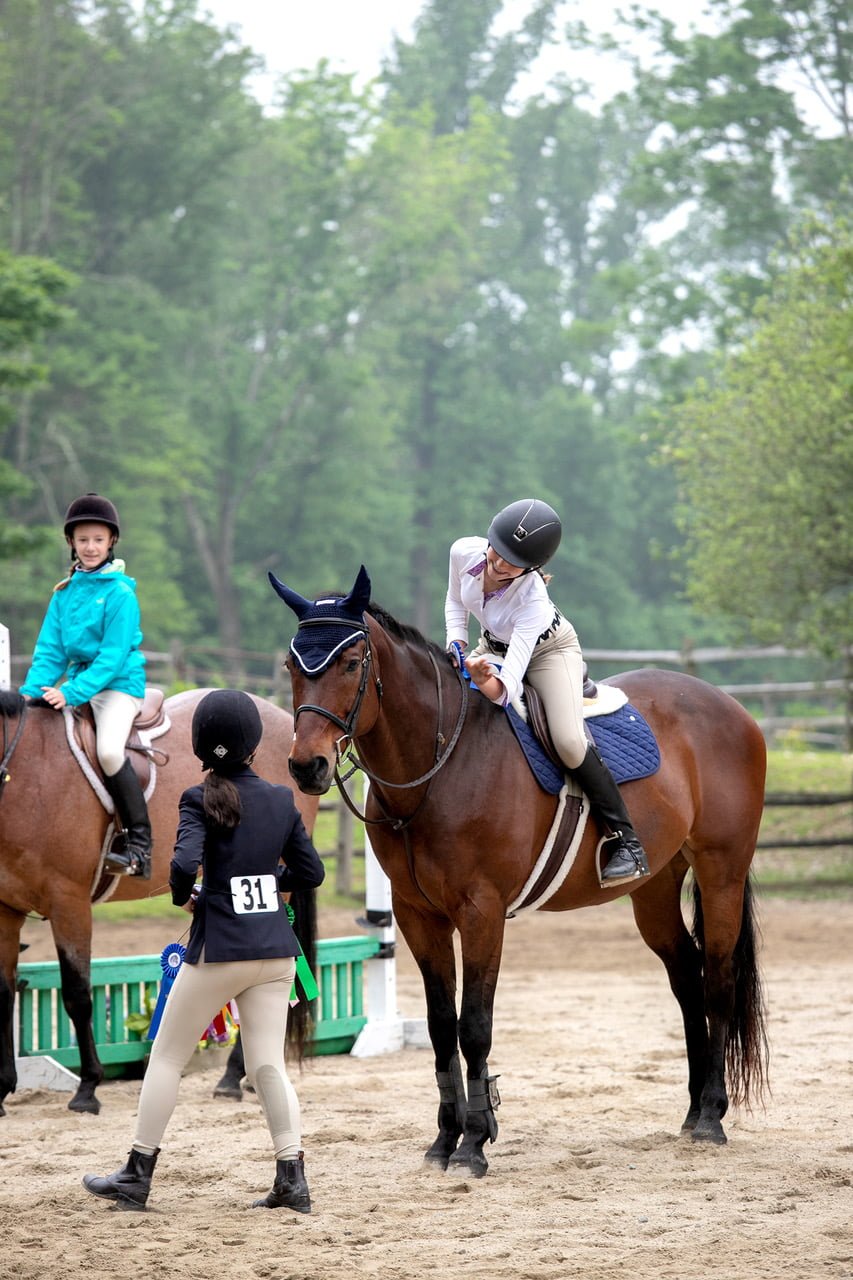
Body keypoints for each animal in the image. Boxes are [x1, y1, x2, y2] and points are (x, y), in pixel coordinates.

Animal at [269, 566, 769, 1177]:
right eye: (292, 665)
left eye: (350, 662)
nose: (306, 766)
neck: (439, 764)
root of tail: (730, 706)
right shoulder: (417, 916)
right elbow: (441, 1027)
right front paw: (445, 1139)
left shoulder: (481, 913)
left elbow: (474, 1025)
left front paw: (473, 1144)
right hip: (653, 890)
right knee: (687, 980)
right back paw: (694, 1111)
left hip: (721, 872)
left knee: (717, 980)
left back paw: (713, 1117)